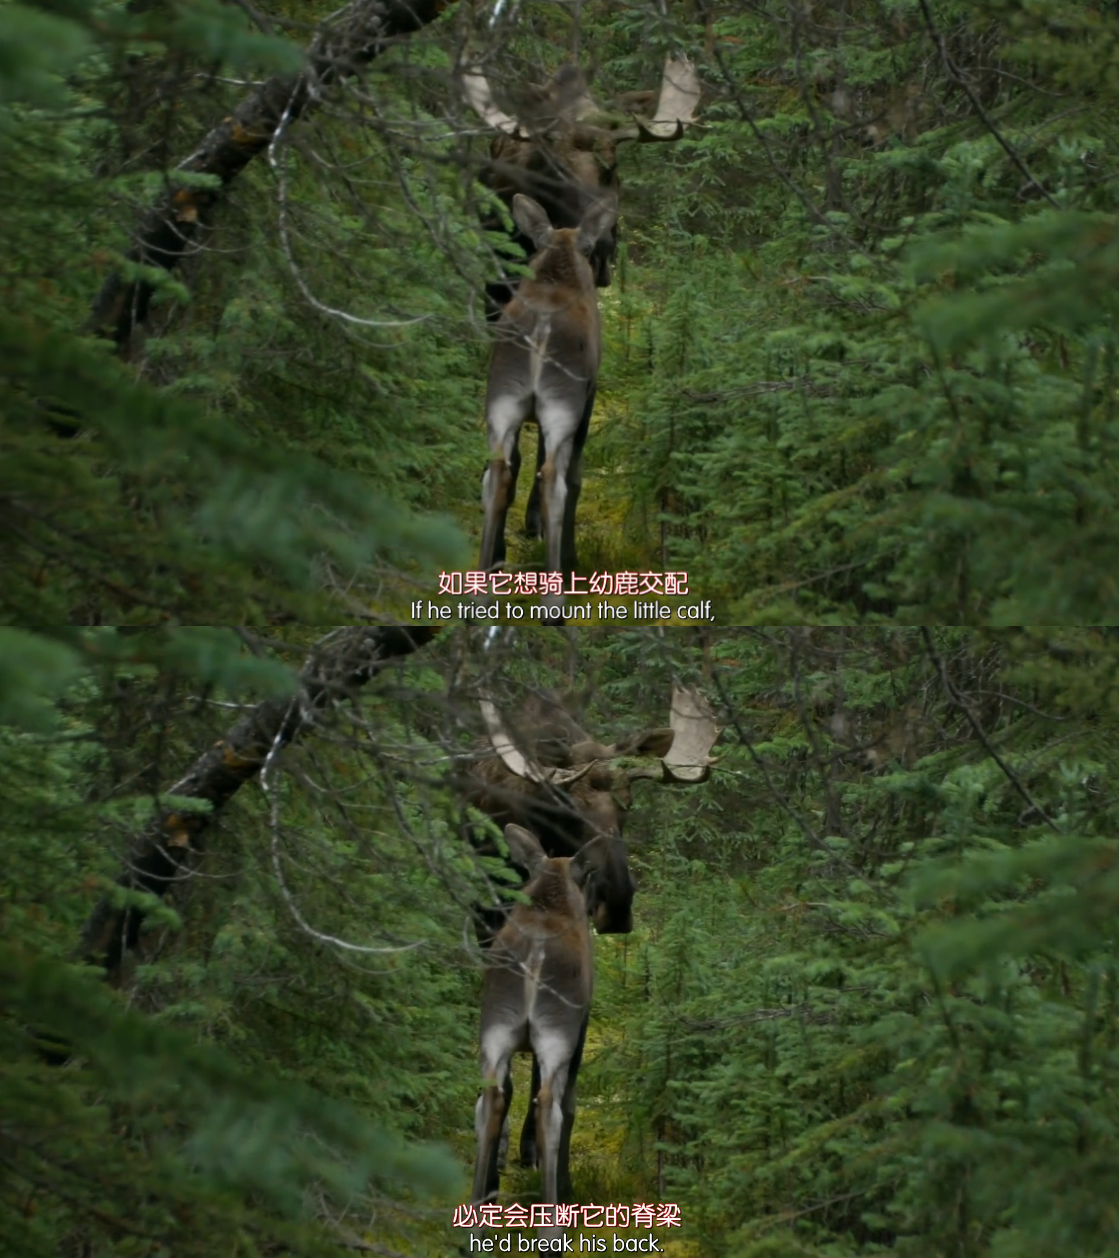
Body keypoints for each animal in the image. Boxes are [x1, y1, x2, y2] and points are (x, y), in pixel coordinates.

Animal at [472, 822, 602, 1227]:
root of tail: (534, 956)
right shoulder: (582, 1026)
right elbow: (570, 1104)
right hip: (558, 1030)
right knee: (551, 1106)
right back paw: (553, 1223)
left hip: (495, 1026)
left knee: (490, 1099)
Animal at [478, 193, 611, 581]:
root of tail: (540, 331)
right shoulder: (588, 396)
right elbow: (575, 477)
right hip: (563, 403)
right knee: (556, 479)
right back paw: (558, 582)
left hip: (501, 399)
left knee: (497, 474)